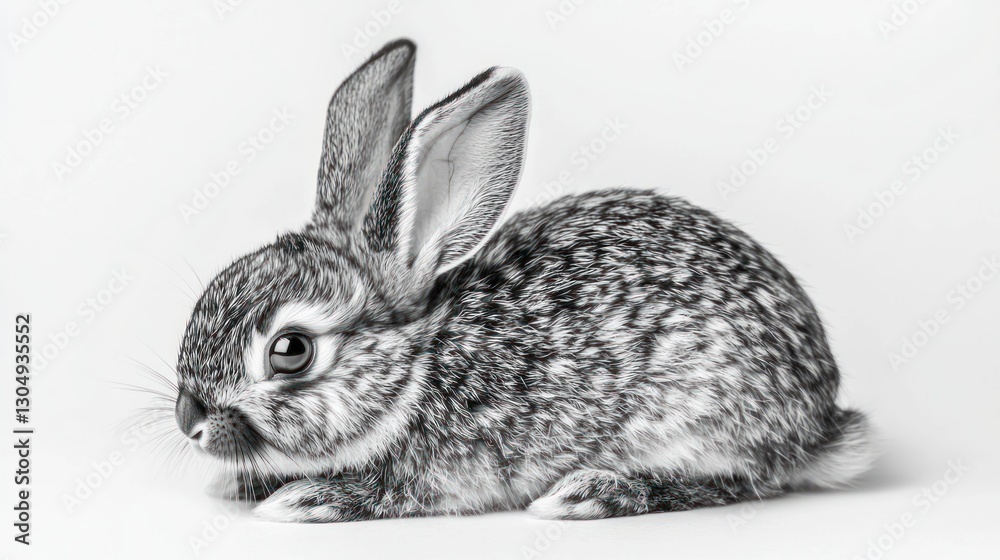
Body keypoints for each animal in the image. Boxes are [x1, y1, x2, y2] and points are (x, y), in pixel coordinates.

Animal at [173, 38, 874, 523]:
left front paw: (304, 499)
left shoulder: (434, 474)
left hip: (699, 418)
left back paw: (592, 493)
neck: (415, 372)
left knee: (741, 480)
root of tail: (821, 421)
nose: (190, 422)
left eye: (291, 351)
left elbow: (385, 490)